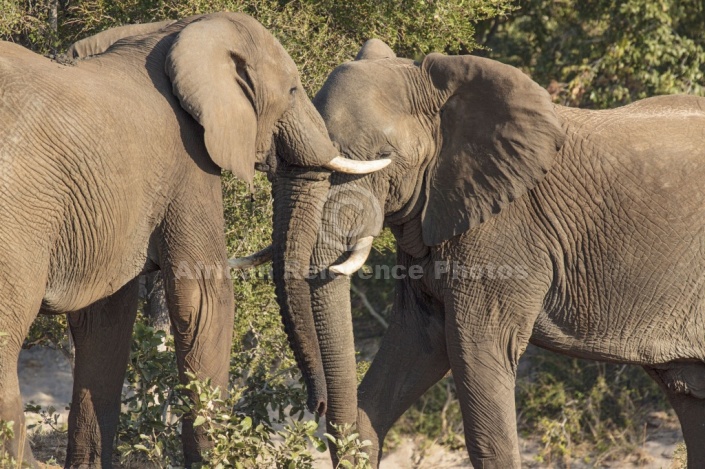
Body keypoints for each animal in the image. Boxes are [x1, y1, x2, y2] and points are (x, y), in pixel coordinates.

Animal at [0, 12, 388, 466]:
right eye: (293, 90)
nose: (317, 405)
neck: (173, 31)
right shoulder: (189, 159)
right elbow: (205, 296)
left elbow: (106, 318)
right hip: (19, 212)